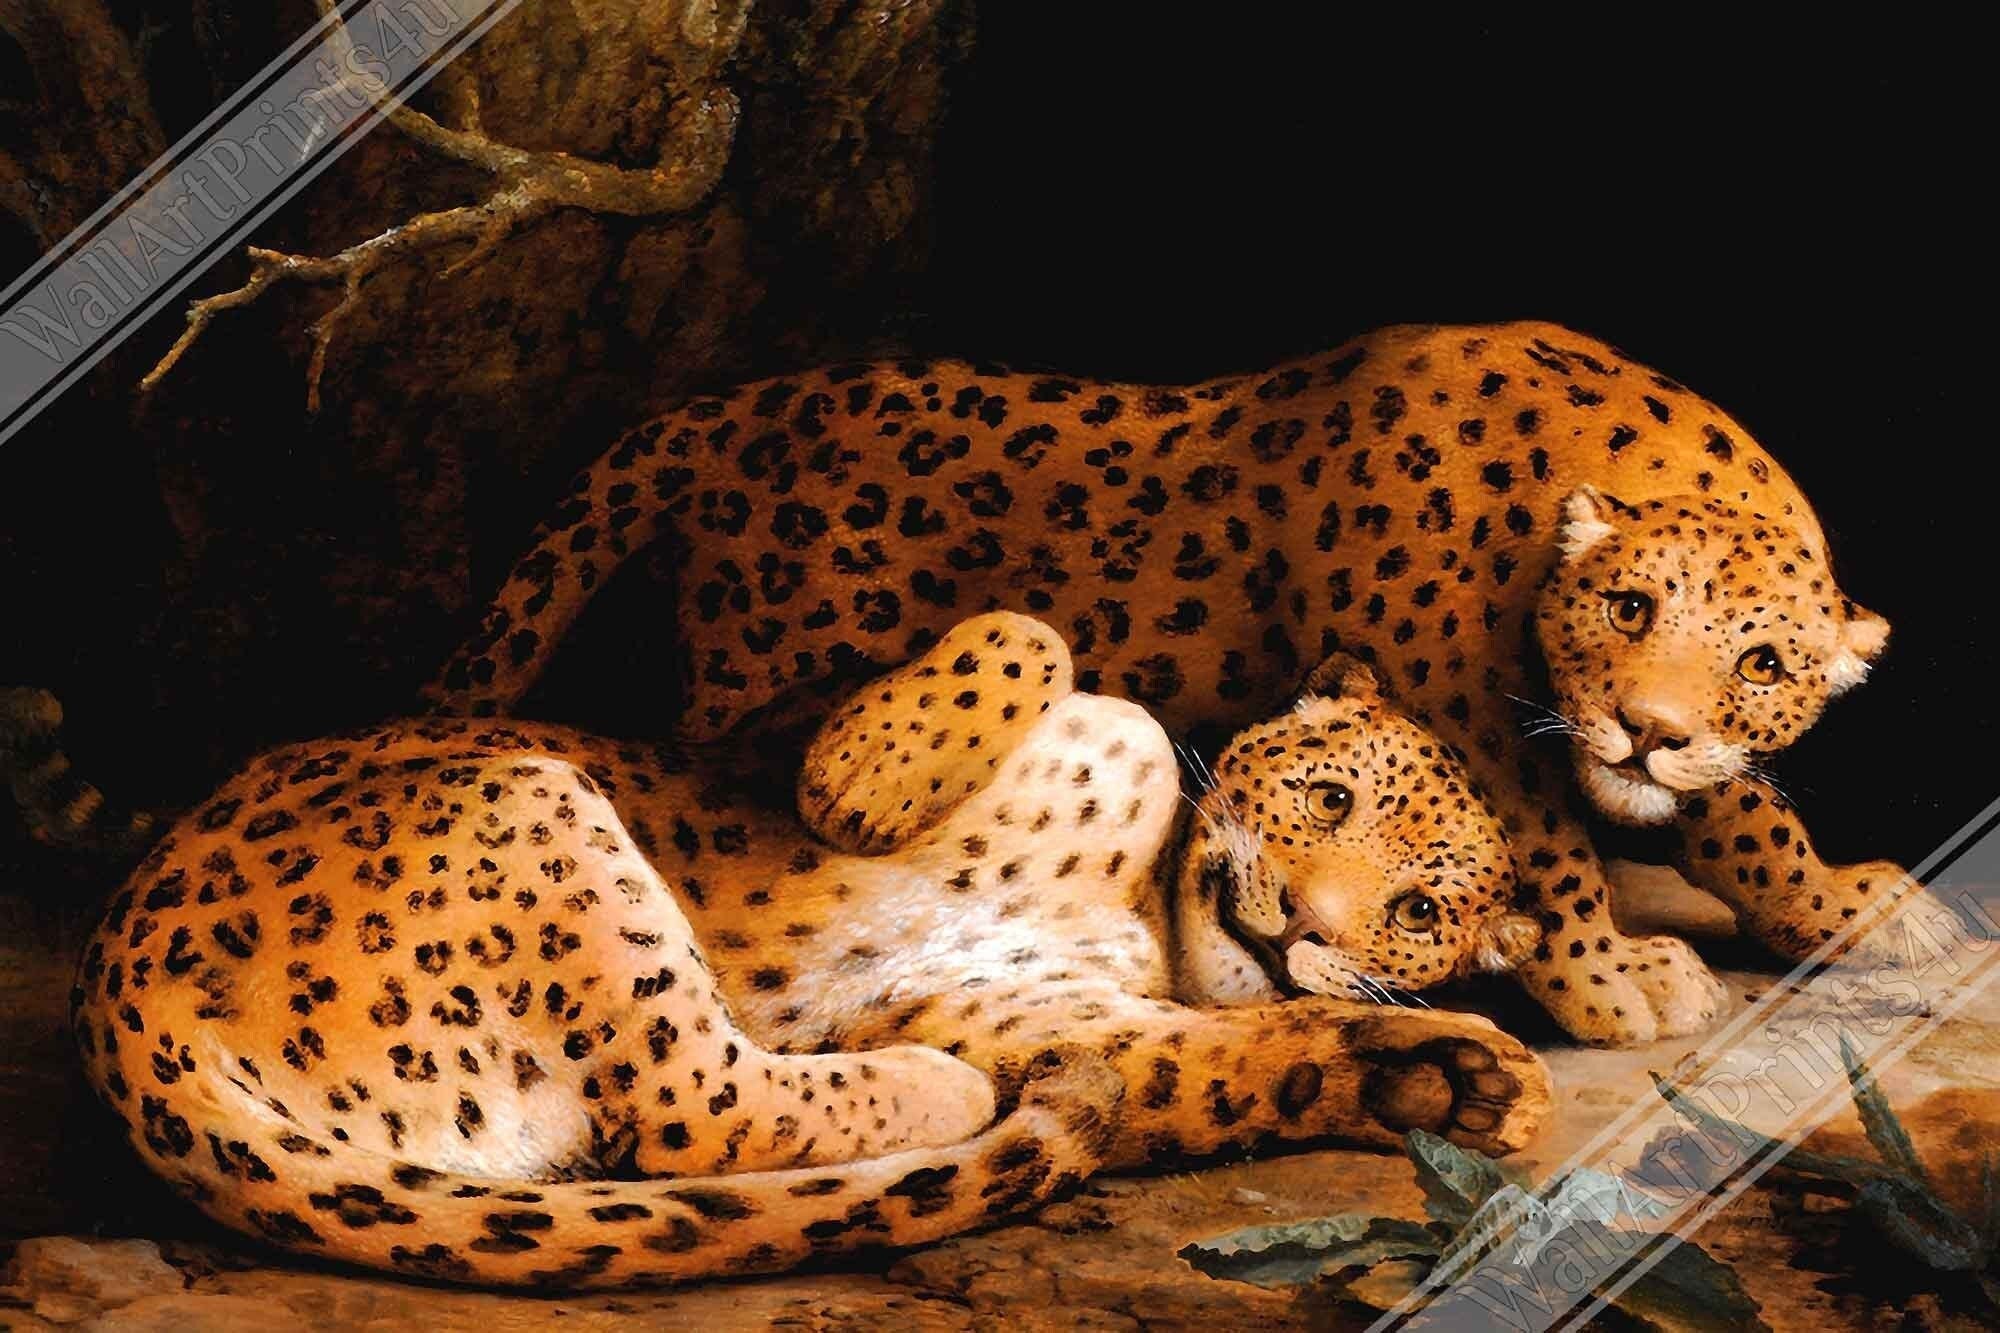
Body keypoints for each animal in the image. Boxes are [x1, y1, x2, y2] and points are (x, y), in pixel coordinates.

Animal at [67, 611, 1550, 1289]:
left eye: (1418, 913)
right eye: (1330, 798)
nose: (1299, 920)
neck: (1140, 908)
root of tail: (120, 986)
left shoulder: (1063, 1018)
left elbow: (1244, 1063)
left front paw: (1456, 1081)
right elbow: (1025, 638)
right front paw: (866, 783)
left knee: (700, 1111)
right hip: (528, 796)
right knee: (686, 1104)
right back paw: (946, 1092)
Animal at [427, 319, 1919, 1046]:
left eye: (1762, 664)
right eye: (1627, 607)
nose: (1648, 731)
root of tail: (735, 404)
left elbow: (1746, 814)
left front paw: (1844, 908)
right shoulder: (1455, 706)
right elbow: (1548, 851)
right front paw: (1612, 977)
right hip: (757, 656)